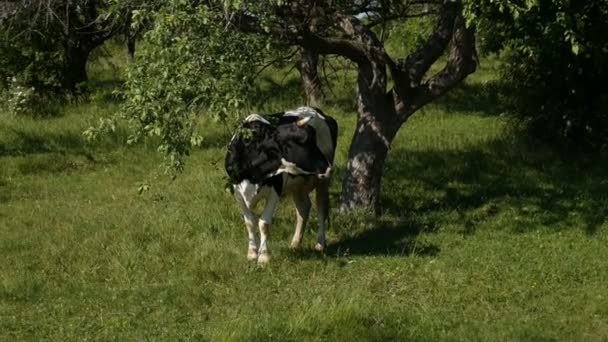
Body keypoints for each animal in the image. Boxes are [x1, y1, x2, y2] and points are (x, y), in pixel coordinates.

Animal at [224, 107, 338, 264]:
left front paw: (264, 256)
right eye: (304, 143)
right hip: (297, 184)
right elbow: (250, 222)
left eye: (314, 142)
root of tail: (317, 111)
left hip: (322, 180)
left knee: (321, 206)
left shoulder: (275, 190)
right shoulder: (238, 193)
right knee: (303, 208)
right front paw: (252, 253)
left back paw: (320, 244)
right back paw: (295, 243)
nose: (329, 168)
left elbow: (264, 223)